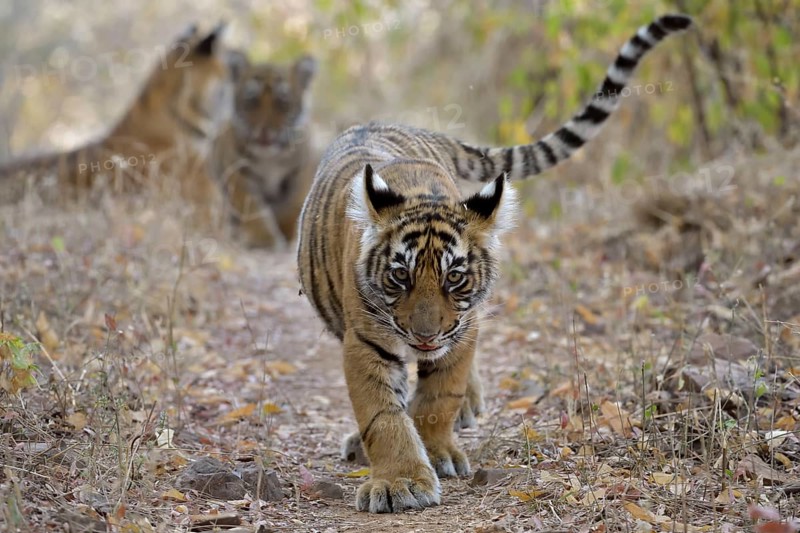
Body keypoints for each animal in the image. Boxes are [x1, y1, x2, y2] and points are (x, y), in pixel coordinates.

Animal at [209, 51, 317, 248]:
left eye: (283, 102)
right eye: (252, 101)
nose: (264, 131)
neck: (270, 158)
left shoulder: (300, 173)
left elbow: (293, 205)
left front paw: (291, 235)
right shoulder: (238, 174)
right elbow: (254, 209)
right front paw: (266, 239)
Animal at [296, 14, 693, 513]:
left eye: (455, 278)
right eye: (400, 276)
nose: (424, 336)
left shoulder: (462, 329)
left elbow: (439, 398)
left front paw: (437, 451)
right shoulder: (366, 341)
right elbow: (383, 415)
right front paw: (400, 481)